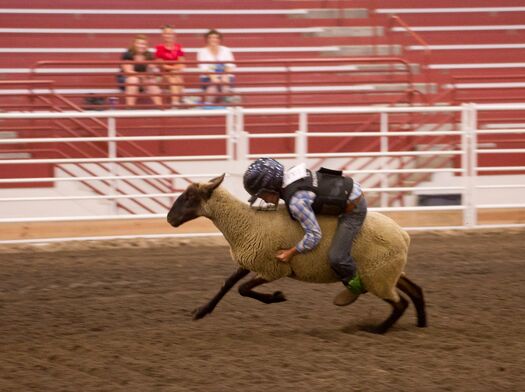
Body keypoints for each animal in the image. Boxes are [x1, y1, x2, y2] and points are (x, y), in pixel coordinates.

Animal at [168, 175, 426, 334]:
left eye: (189, 197)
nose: (170, 219)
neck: (246, 223)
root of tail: (404, 235)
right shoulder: (250, 260)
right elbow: (227, 284)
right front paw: (201, 311)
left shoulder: (274, 268)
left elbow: (243, 288)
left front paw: (276, 296)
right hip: (387, 270)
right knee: (415, 291)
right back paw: (421, 324)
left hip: (377, 276)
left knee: (400, 303)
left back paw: (378, 330)